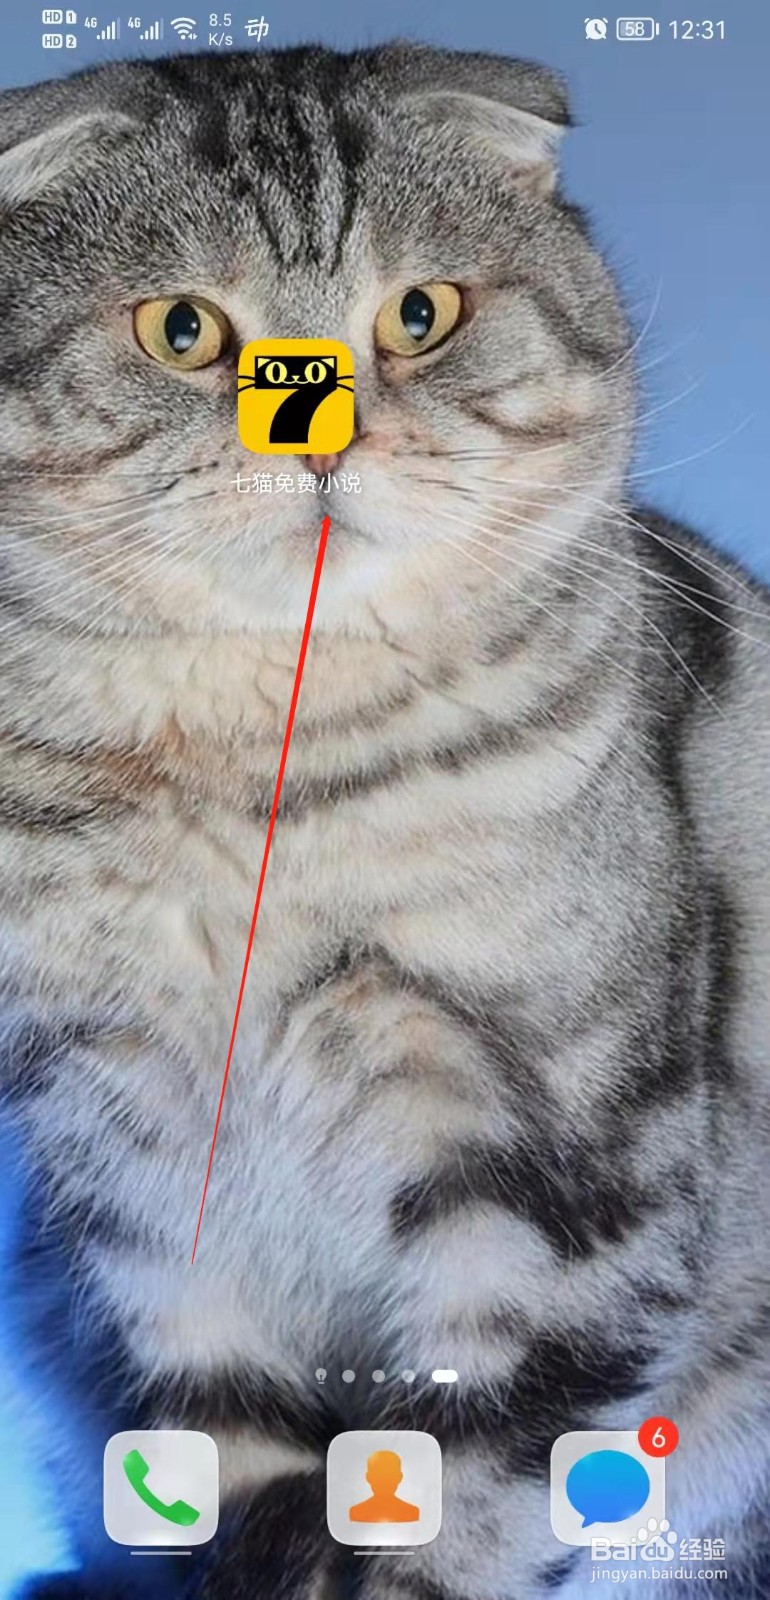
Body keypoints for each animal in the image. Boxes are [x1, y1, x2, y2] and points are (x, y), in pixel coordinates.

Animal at [1, 39, 770, 1600]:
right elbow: (218, 1462)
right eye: (183, 329)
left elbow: (467, 1490)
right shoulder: (120, 1155)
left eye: (420, 313)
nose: (318, 432)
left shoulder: (567, 1165)